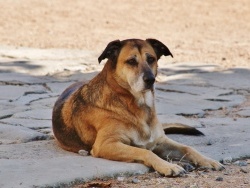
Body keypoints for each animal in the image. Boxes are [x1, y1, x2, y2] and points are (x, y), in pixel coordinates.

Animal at [51, 38, 224, 176]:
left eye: (151, 59)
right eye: (131, 61)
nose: (150, 80)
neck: (135, 104)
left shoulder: (160, 141)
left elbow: (189, 148)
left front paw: (208, 160)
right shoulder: (106, 145)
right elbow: (144, 151)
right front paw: (167, 166)